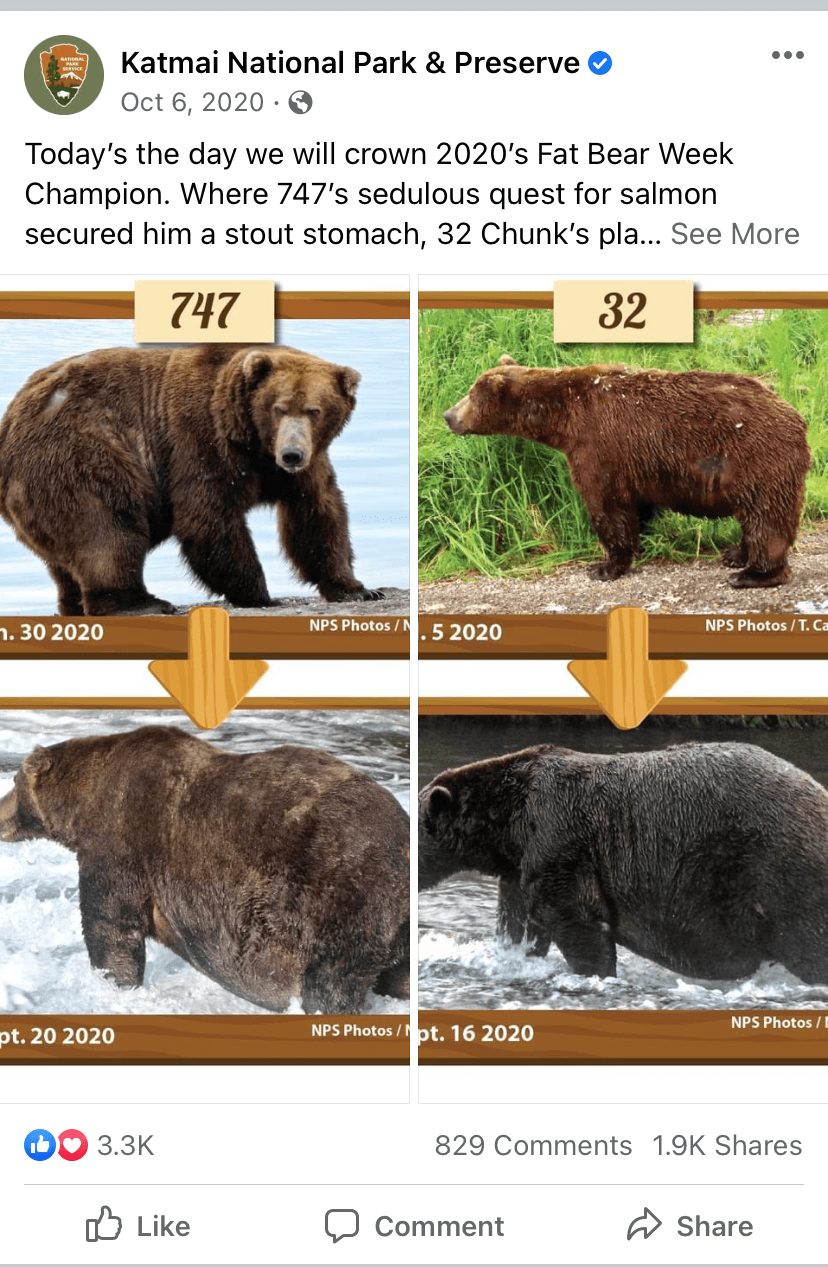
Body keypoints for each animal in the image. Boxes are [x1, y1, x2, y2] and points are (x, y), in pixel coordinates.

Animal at [0, 343, 383, 615]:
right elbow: (208, 518)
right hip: (79, 453)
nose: (291, 454)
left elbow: (318, 514)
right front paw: (260, 595)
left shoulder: (305, 464)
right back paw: (141, 603)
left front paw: (358, 588)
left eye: (314, 410)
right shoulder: (201, 439)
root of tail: (10, 421)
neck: (252, 442)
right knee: (108, 528)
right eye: (279, 407)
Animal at [0, 725, 410, 1013]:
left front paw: (112, 984)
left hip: (339, 897)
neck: (81, 806)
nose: (0, 813)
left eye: (14, 781)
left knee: (330, 986)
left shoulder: (122, 842)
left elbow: (111, 927)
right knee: (396, 977)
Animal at [419, 742, 828, 984]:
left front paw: (595, 973)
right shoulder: (520, 868)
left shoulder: (560, 842)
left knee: (808, 944)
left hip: (779, 875)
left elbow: (577, 920)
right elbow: (519, 924)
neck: (507, 824)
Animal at [443, 356, 813, 587]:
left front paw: (604, 566)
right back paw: (735, 554)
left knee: (766, 518)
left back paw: (753, 574)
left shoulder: (598, 446)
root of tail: (797, 417)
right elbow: (638, 507)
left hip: (755, 458)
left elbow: (607, 506)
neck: (562, 418)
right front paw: (638, 544)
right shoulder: (635, 464)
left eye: (471, 396)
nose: (448, 415)